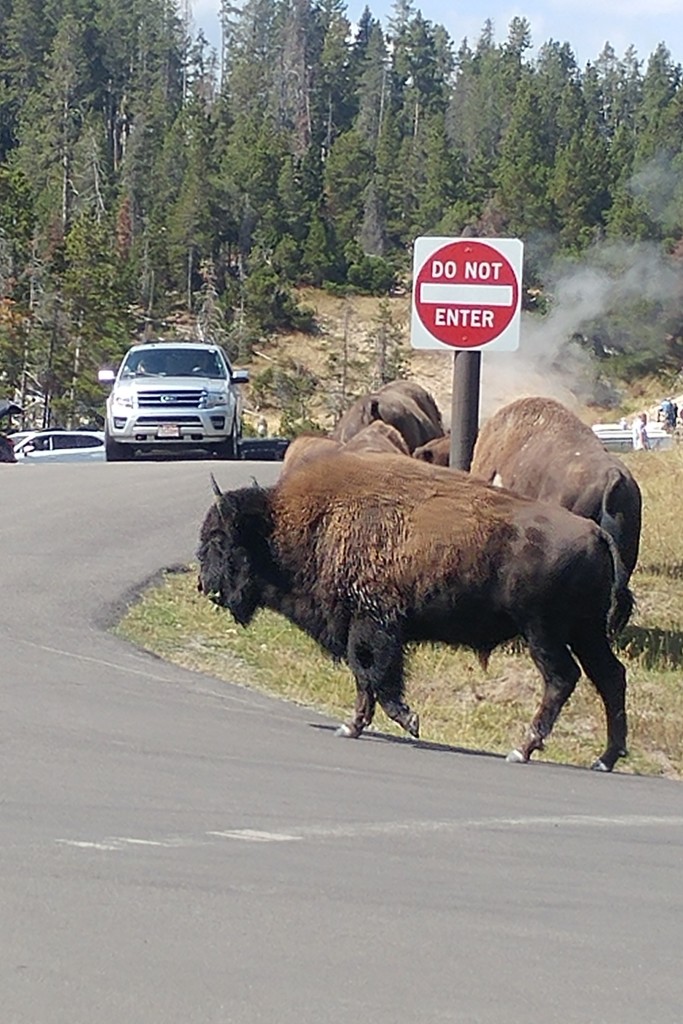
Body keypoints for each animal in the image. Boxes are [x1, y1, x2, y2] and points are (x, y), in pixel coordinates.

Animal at [198, 451, 632, 771]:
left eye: (220, 538)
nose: (204, 585)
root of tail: (596, 532)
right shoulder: (366, 627)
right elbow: (366, 678)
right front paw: (353, 726)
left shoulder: (373, 626)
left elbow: (372, 673)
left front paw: (406, 722)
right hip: (584, 632)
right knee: (610, 676)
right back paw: (605, 759)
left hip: (543, 631)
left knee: (562, 678)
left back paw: (523, 749)